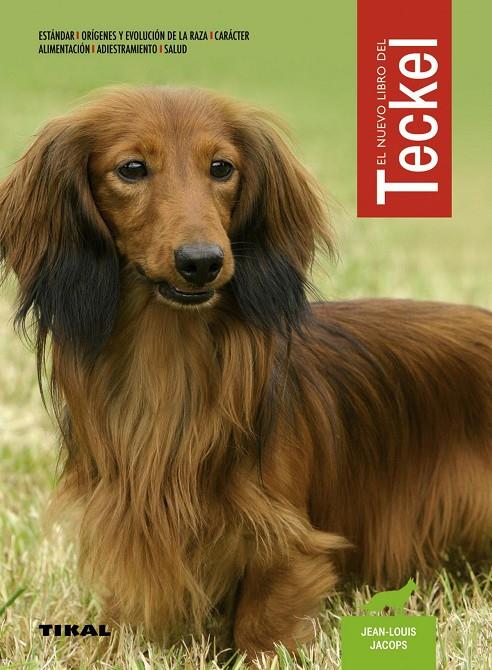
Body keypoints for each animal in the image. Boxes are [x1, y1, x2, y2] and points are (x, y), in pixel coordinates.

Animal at [0, 86, 491, 655]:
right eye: (131, 168)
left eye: (221, 167)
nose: (202, 262)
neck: (168, 362)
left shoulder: (285, 539)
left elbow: (264, 620)